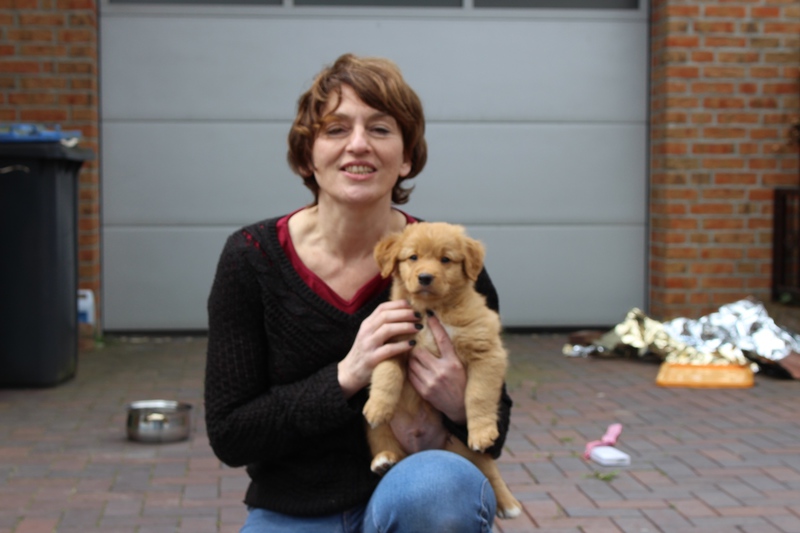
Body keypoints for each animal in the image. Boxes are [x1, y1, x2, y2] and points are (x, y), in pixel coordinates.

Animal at [363, 221, 522, 519]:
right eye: (413, 257)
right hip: (375, 431)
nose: (425, 277)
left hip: (463, 448)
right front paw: (377, 406)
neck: (430, 312)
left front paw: (482, 431)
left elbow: (478, 395)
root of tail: (421, 449)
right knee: (381, 438)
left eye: (445, 259)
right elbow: (387, 375)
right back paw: (384, 459)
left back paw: (509, 504)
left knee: (488, 468)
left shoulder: (486, 352)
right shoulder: (390, 342)